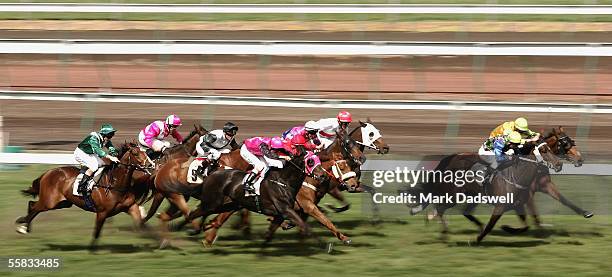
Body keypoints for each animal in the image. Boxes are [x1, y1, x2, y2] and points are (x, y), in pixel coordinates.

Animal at [16, 141, 152, 247]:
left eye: (145, 151)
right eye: (135, 153)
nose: (150, 164)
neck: (115, 184)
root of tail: (47, 173)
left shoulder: (131, 207)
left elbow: (140, 223)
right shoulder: (102, 212)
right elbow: (97, 232)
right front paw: (92, 250)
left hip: (62, 203)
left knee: (33, 205)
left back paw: (25, 227)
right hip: (49, 202)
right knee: (34, 206)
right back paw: (22, 226)